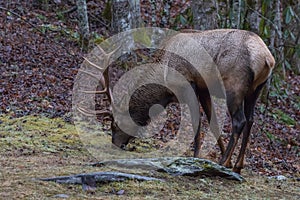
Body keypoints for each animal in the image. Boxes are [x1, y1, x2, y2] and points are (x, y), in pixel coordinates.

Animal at [78, 28, 276, 173]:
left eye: (115, 124)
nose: (115, 145)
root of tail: (267, 58)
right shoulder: (203, 88)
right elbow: (212, 122)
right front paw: (217, 156)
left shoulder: (187, 84)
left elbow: (196, 122)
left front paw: (197, 157)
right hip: (255, 90)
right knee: (250, 120)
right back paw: (237, 165)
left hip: (234, 86)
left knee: (239, 121)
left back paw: (223, 162)